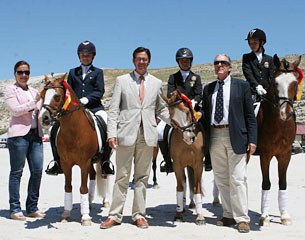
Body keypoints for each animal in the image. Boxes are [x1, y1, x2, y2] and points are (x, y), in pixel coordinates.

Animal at [39, 74, 106, 226]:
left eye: (57, 96)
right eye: (42, 95)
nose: (44, 118)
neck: (73, 131)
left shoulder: (84, 162)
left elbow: (83, 187)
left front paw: (85, 217)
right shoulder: (66, 163)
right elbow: (68, 187)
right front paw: (66, 214)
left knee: (104, 176)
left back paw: (106, 202)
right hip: (90, 162)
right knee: (93, 175)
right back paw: (89, 202)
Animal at [162, 90, 204, 225]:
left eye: (187, 112)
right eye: (172, 118)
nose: (189, 138)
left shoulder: (198, 164)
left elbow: (197, 188)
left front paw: (200, 216)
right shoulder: (177, 164)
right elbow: (180, 187)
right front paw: (179, 214)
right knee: (185, 182)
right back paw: (184, 206)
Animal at [251, 55, 300, 226]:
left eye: (295, 83)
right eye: (275, 82)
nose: (285, 114)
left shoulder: (285, 155)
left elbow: (282, 183)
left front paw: (284, 215)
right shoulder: (265, 155)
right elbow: (266, 183)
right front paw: (264, 217)